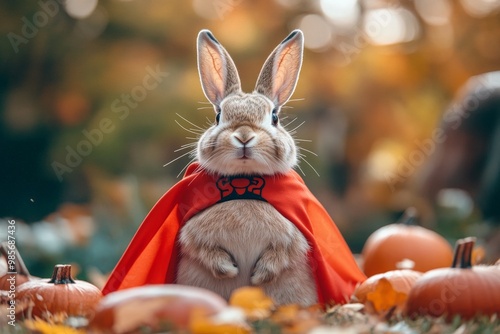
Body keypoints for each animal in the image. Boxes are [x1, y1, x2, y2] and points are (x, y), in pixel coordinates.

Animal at [176, 30, 316, 306]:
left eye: (274, 117)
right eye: (218, 116)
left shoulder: (292, 237)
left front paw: (257, 276)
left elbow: (281, 253)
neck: (243, 182)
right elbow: (203, 249)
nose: (243, 136)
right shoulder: (193, 233)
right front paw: (230, 270)